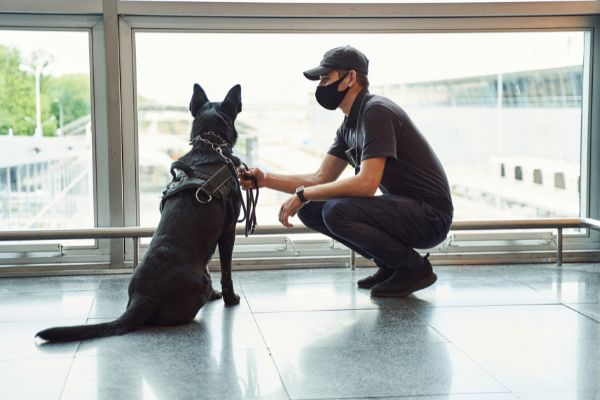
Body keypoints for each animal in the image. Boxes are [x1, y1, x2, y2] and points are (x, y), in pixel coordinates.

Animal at [35, 83, 245, 342]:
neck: (208, 145)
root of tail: (143, 298)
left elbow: (208, 262)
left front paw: (219, 294)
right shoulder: (228, 230)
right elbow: (226, 270)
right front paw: (229, 298)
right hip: (198, 284)